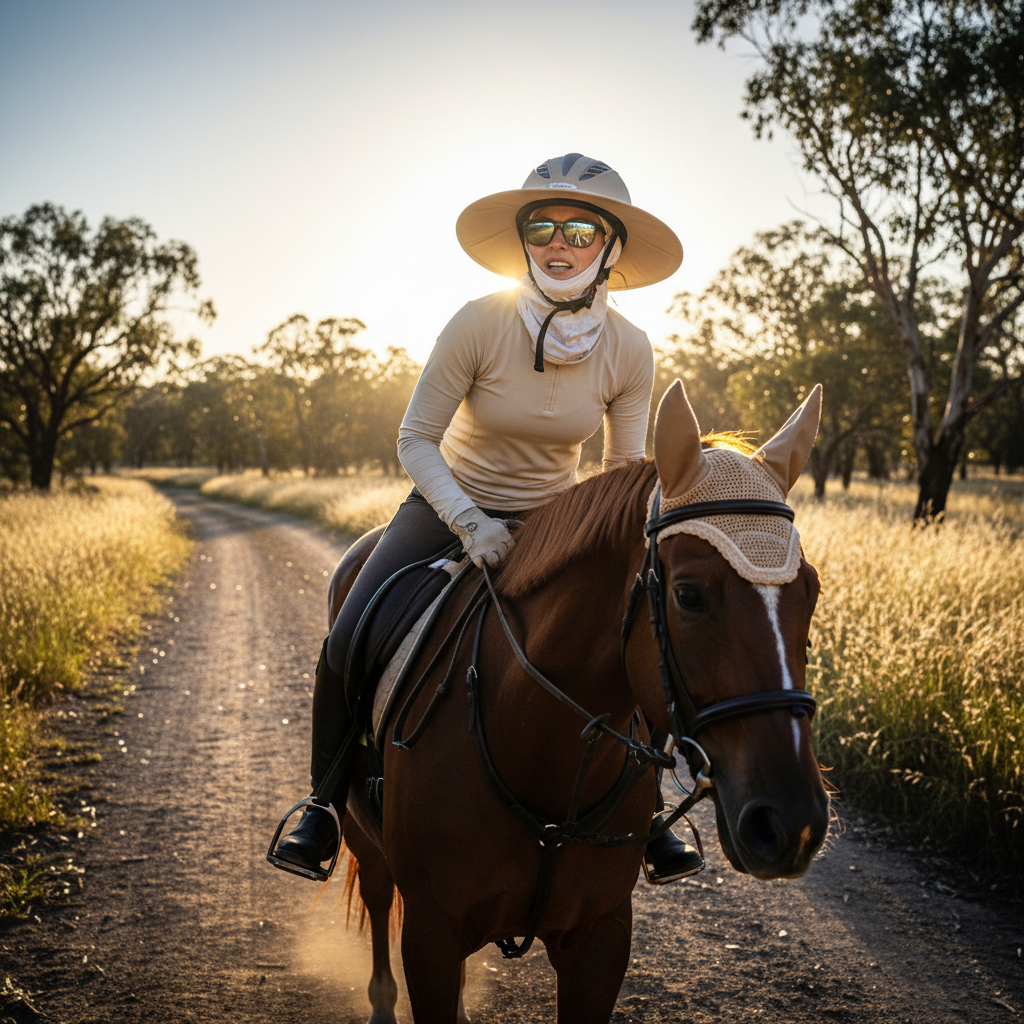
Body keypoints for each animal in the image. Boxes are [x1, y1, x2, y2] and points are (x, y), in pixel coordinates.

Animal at [327, 380, 830, 1024]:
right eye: (689, 595)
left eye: (810, 592)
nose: (791, 822)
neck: (535, 744)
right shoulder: (430, 934)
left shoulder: (601, 939)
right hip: (362, 836)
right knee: (374, 891)